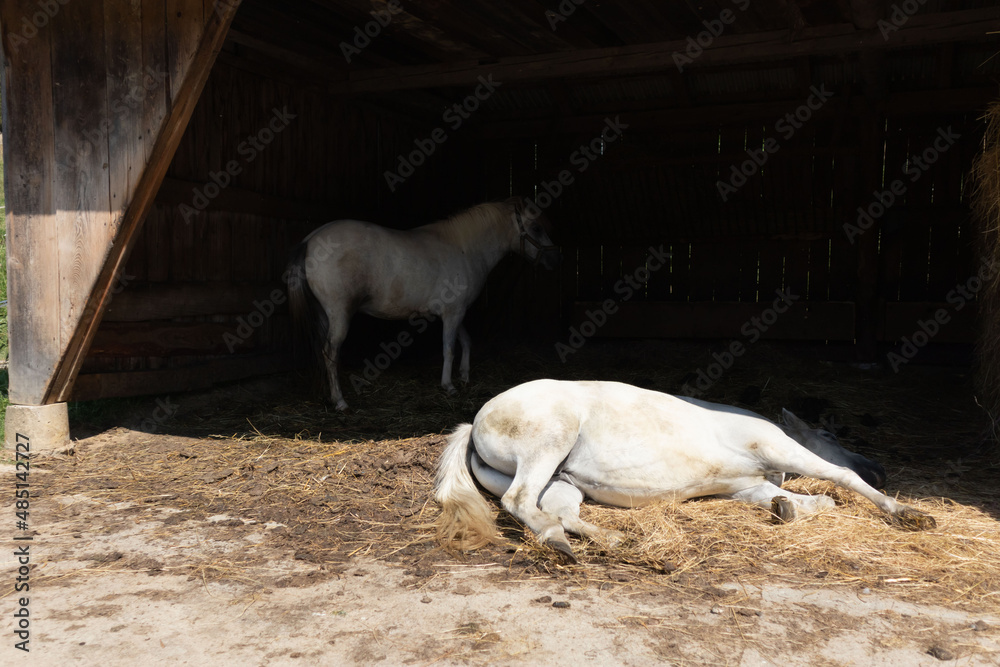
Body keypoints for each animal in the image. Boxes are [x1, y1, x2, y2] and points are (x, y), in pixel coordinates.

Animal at [287, 197, 560, 410]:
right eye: (536, 227)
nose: (555, 259)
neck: (464, 248)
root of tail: (311, 240)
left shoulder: (455, 313)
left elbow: (465, 341)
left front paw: (464, 376)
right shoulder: (452, 313)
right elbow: (449, 348)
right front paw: (449, 386)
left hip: (324, 315)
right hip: (339, 314)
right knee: (331, 352)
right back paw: (340, 401)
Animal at [435, 380, 933, 563]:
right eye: (829, 433)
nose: (881, 471)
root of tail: (476, 422)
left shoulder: (744, 488)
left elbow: (804, 500)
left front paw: (786, 507)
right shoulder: (778, 447)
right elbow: (838, 478)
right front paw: (908, 513)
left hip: (560, 479)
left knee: (557, 512)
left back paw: (610, 540)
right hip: (548, 445)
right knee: (519, 501)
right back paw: (563, 542)